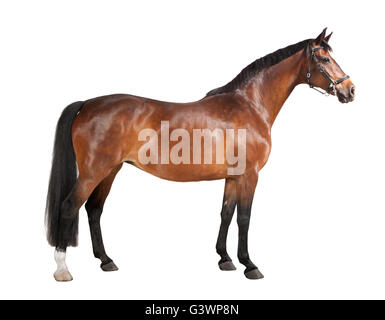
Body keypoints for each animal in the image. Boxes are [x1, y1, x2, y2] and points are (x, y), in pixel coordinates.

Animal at [45, 28, 354, 282]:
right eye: (324, 59)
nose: (350, 90)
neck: (250, 104)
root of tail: (87, 104)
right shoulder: (250, 175)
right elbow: (244, 218)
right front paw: (249, 265)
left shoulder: (233, 176)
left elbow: (226, 213)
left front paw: (225, 259)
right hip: (93, 172)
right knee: (69, 206)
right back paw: (62, 269)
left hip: (110, 170)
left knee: (94, 210)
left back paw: (106, 261)